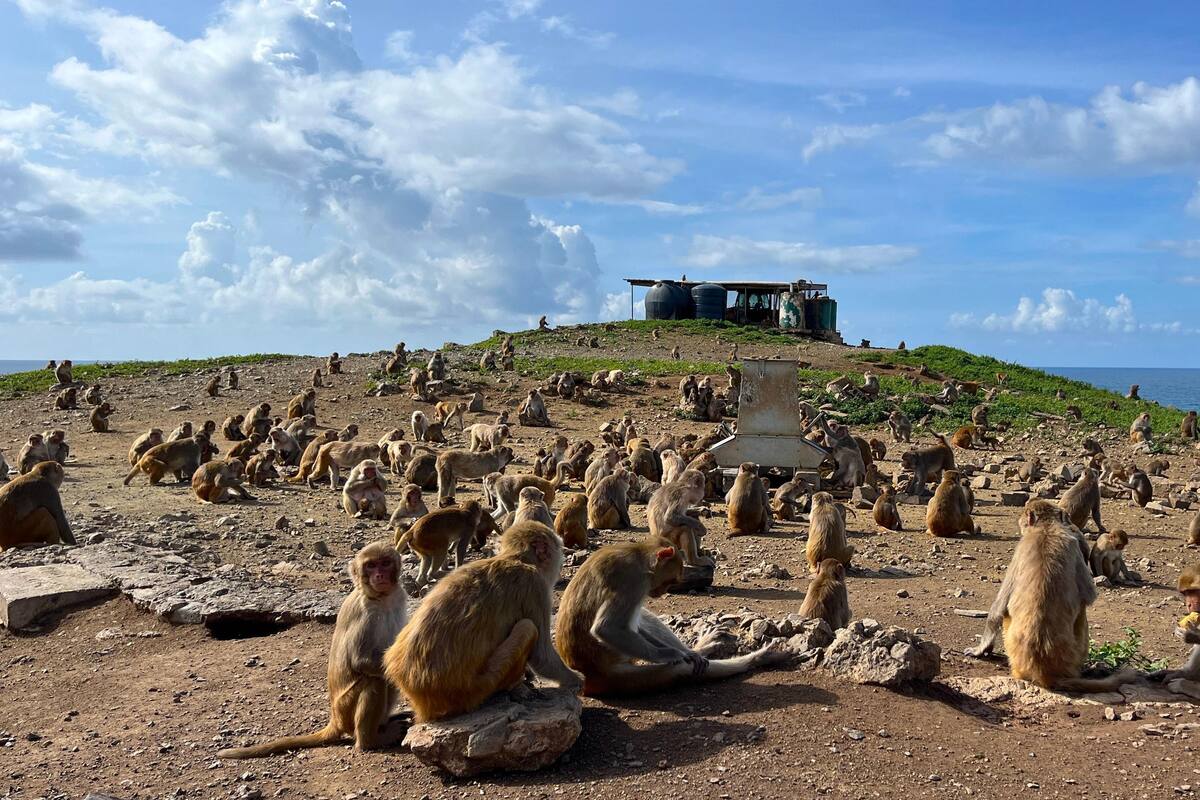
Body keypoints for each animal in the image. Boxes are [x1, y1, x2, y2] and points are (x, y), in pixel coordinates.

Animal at [218, 542, 407, 757]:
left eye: (385, 563)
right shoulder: (364, 613)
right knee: (375, 680)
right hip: (345, 710)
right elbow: (361, 661)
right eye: (370, 565)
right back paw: (370, 741)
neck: (382, 599)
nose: (379, 575)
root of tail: (335, 719)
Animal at [385, 521, 582, 722]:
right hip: (478, 688)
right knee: (527, 627)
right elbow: (542, 655)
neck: (516, 558)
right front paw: (577, 680)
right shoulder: (536, 586)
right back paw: (513, 686)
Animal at [554, 539, 786, 696]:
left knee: (641, 618)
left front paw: (690, 652)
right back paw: (759, 658)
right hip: (618, 674)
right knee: (679, 670)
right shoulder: (633, 581)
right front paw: (673, 654)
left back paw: (699, 650)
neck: (638, 555)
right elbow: (607, 628)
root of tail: (589, 677)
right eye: (669, 580)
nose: (661, 592)